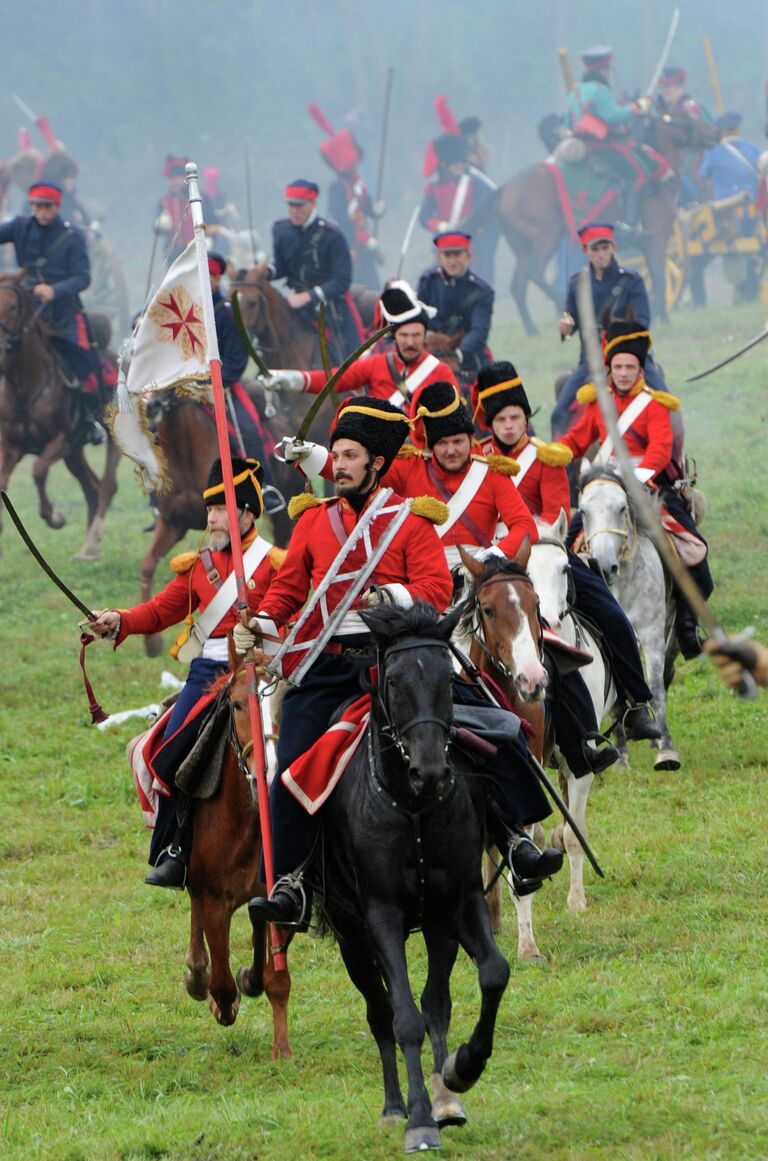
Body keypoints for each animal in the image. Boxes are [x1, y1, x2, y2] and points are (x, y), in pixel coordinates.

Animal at [0, 276, 119, 557]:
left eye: (12, 306)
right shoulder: (11, 447)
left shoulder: (60, 441)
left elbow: (38, 470)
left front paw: (54, 517)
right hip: (74, 454)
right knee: (92, 488)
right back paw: (88, 548)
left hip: (112, 441)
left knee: (107, 486)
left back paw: (91, 542)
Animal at [181, 650, 291, 1058]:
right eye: (238, 704)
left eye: (284, 703)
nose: (267, 776)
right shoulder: (215, 901)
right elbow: (224, 985)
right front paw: (218, 1000)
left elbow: (273, 977)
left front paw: (282, 1049)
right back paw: (198, 975)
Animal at [578, 462, 678, 770]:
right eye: (583, 511)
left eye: (622, 507)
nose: (604, 565)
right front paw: (621, 755)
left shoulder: (651, 634)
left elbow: (656, 687)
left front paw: (666, 749)